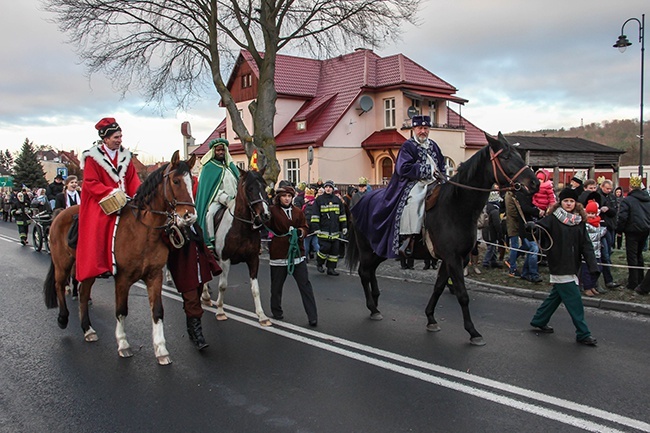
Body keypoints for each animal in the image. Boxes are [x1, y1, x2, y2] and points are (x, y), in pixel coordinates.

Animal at [44, 150, 196, 362]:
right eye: (176, 181)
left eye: (192, 181)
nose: (190, 216)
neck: (143, 231)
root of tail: (59, 214)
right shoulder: (122, 278)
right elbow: (121, 310)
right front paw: (123, 344)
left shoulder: (154, 275)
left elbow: (157, 311)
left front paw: (161, 349)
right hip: (62, 263)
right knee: (59, 285)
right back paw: (63, 318)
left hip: (87, 269)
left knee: (83, 293)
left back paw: (87, 329)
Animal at [197, 169, 268, 324]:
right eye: (250, 188)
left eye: (265, 187)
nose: (265, 215)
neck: (242, 228)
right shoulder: (225, 260)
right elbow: (223, 286)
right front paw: (220, 311)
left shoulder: (253, 259)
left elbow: (256, 288)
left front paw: (262, 315)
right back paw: (205, 296)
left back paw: (205, 297)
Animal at [344, 132, 536, 344]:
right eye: (506, 157)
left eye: (518, 155)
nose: (535, 183)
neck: (455, 206)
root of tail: (359, 201)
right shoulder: (453, 259)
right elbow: (462, 294)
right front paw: (473, 332)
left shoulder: (452, 259)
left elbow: (438, 287)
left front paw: (431, 319)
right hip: (367, 250)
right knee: (364, 272)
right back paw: (372, 307)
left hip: (380, 249)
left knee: (370, 272)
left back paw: (376, 302)